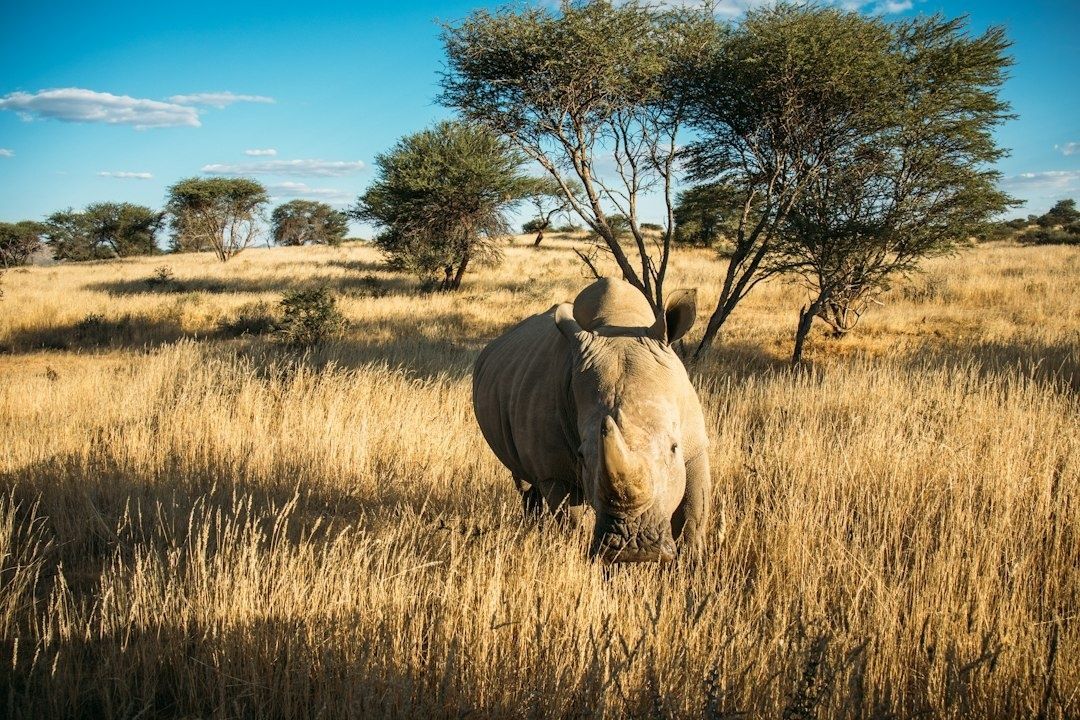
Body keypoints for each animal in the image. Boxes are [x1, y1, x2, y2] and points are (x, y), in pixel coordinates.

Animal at [472, 278, 711, 563]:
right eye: (582, 455)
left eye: (674, 447)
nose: (634, 549)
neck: (620, 323)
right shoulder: (555, 472)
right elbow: (573, 522)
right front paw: (588, 559)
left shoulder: (695, 447)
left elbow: (692, 515)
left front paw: (692, 564)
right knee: (525, 482)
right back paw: (534, 529)